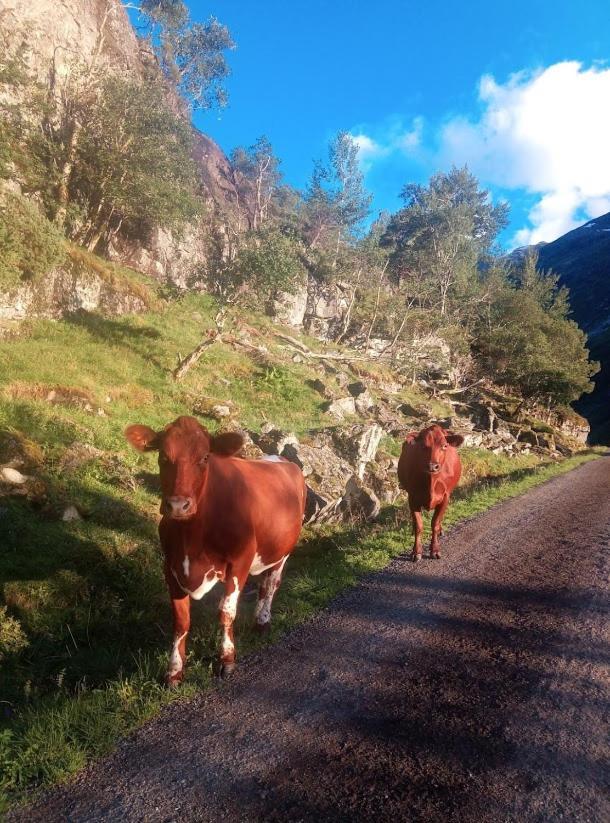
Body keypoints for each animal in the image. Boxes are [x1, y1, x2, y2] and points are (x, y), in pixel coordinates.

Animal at [124, 416, 304, 684]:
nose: (178, 505)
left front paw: (226, 660)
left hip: (283, 552)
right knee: (263, 585)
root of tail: (280, 459)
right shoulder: (170, 566)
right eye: (163, 456)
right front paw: (174, 671)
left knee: (271, 585)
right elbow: (181, 620)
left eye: (205, 457)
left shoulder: (240, 561)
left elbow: (226, 612)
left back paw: (263, 622)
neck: (192, 536)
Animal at [394, 428, 460, 564]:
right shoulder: (412, 498)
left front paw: (434, 550)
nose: (432, 466)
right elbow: (418, 525)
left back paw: (441, 531)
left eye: (445, 446)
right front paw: (416, 552)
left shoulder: (445, 497)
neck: (431, 481)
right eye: (422, 446)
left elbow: (435, 523)